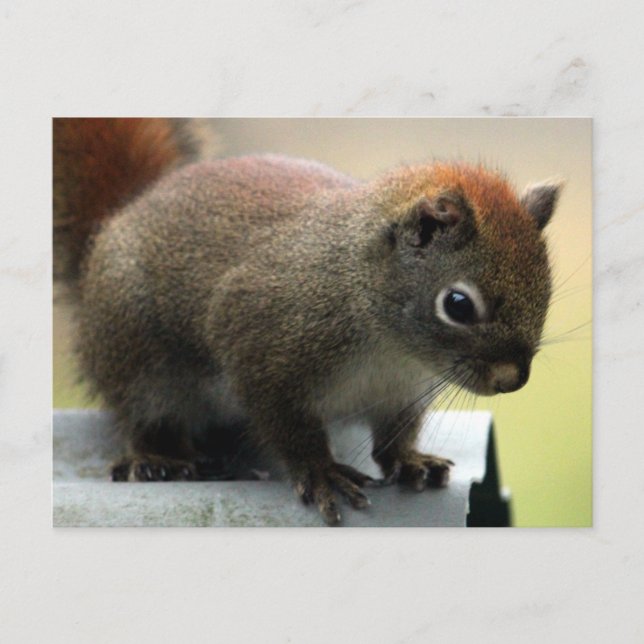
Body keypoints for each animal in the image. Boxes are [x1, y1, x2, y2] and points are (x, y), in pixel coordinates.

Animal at [53, 118, 561, 525]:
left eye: (546, 289)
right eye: (457, 304)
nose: (512, 379)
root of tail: (116, 221)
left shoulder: (402, 390)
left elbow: (395, 434)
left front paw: (409, 460)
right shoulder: (258, 346)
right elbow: (288, 425)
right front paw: (321, 471)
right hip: (135, 352)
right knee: (143, 414)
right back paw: (158, 456)